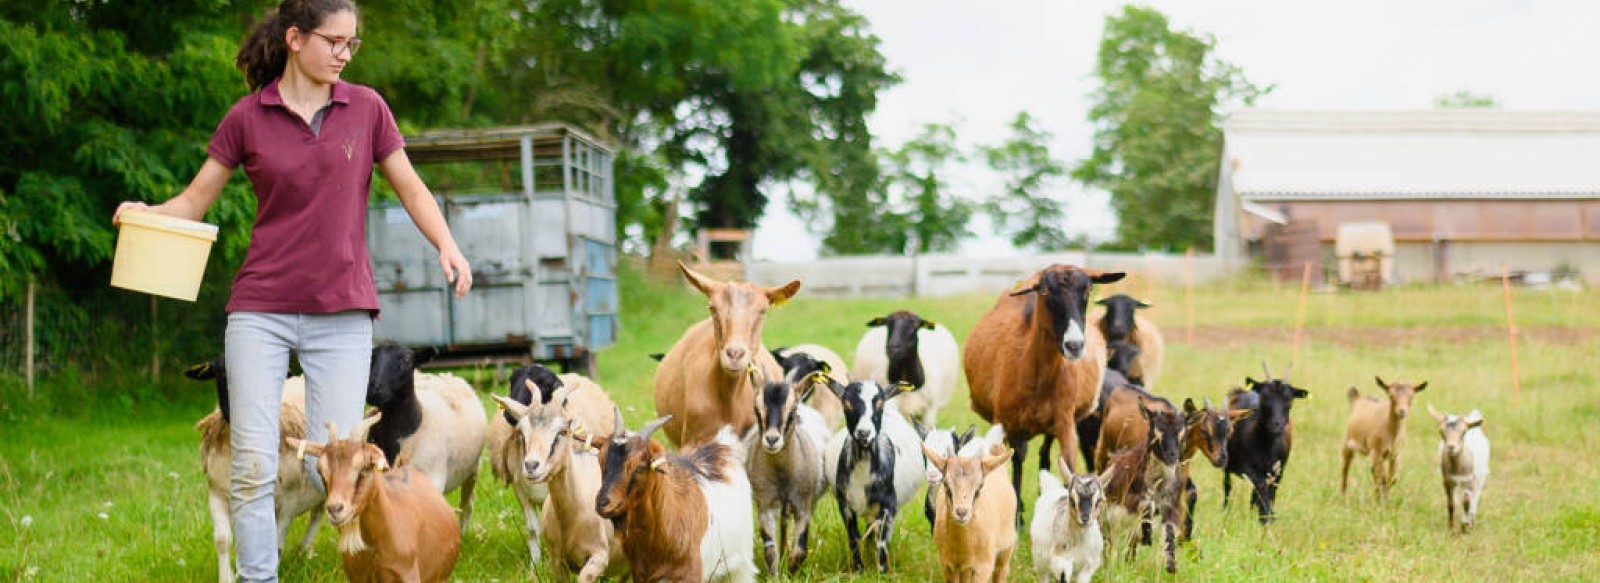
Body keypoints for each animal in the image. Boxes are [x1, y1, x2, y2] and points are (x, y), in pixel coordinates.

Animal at [921, 442, 1017, 583]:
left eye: (980, 486)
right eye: (946, 484)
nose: (961, 512)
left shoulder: (983, 568)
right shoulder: (948, 566)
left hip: (1006, 550)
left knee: (1001, 572)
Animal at [960, 264, 1126, 515]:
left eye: (1087, 290)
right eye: (1045, 291)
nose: (1074, 345)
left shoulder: (1065, 422)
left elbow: (1068, 467)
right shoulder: (1006, 423)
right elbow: (1012, 465)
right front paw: (1015, 514)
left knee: (1044, 456)